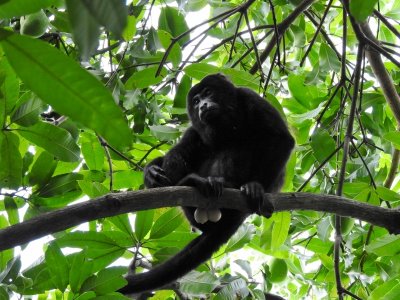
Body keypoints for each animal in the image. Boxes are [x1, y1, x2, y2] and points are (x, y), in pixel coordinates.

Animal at [119, 74, 294, 294]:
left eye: (208, 93)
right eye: (195, 101)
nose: (202, 105)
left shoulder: (250, 97)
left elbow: (281, 138)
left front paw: (256, 187)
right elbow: (184, 144)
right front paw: (152, 174)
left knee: (240, 145)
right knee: (187, 143)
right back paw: (191, 182)